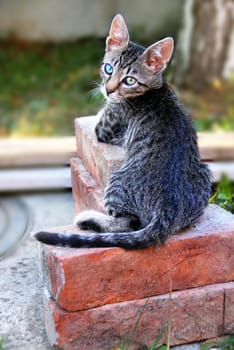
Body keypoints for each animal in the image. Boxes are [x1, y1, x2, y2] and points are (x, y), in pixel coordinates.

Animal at [35, 13, 212, 249]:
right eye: (108, 68)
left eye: (129, 80)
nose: (108, 90)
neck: (155, 88)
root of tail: (167, 210)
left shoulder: (105, 127)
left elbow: (100, 118)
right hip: (204, 173)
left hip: (117, 181)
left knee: (128, 223)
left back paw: (87, 219)